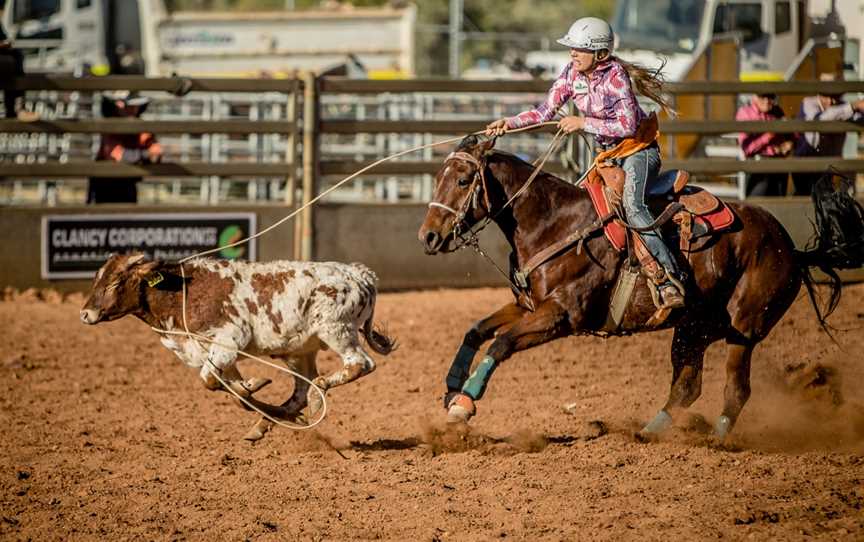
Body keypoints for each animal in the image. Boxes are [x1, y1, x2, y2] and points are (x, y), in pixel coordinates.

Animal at [79, 255, 396, 442]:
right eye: (97, 278)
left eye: (117, 282)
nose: (85, 314)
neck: (181, 291)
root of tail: (361, 274)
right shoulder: (220, 355)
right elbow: (231, 389)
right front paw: (250, 388)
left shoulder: (228, 343)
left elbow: (210, 381)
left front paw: (252, 385)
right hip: (300, 350)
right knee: (300, 390)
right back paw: (267, 422)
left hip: (337, 330)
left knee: (359, 364)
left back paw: (318, 397)